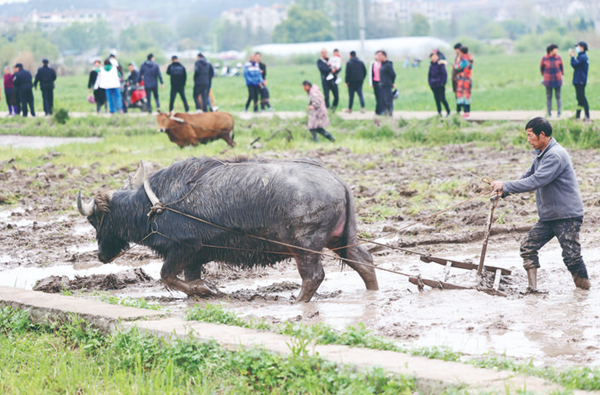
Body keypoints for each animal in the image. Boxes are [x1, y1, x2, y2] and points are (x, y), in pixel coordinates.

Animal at [77, 156, 378, 302]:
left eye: (95, 221)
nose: (101, 255)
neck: (155, 206)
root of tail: (337, 180)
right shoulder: (194, 258)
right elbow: (184, 279)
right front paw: (201, 290)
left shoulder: (185, 248)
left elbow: (166, 276)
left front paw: (207, 289)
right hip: (342, 239)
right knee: (364, 262)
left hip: (305, 247)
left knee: (314, 276)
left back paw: (296, 303)